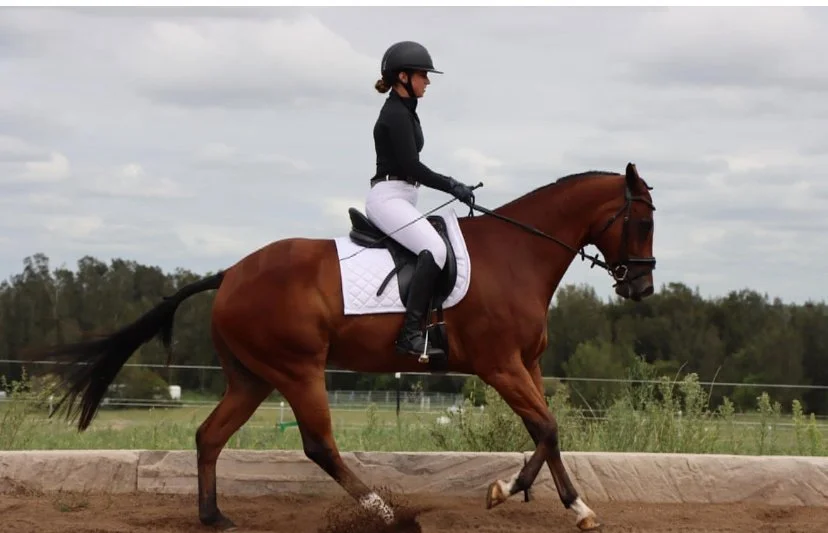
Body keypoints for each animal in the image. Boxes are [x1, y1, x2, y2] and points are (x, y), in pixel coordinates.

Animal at [35, 162, 657, 531]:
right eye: (643, 222)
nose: (643, 288)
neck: (517, 255)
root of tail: (230, 274)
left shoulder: (526, 363)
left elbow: (547, 430)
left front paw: (556, 501)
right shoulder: (499, 364)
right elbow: (546, 427)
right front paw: (524, 495)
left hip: (252, 378)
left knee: (209, 436)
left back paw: (215, 517)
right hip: (299, 370)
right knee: (319, 445)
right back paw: (383, 511)